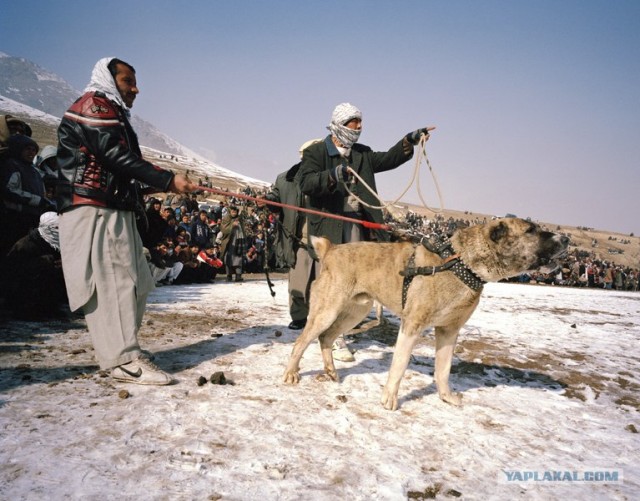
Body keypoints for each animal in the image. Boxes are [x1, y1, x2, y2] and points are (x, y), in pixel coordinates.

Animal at [282, 219, 568, 410]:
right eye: (530, 230)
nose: (565, 239)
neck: (460, 263)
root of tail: (331, 249)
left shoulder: (449, 331)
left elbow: (443, 370)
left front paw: (446, 397)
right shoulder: (412, 324)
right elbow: (399, 365)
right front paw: (389, 400)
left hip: (356, 310)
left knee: (326, 338)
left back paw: (331, 371)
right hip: (327, 310)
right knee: (301, 342)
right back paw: (291, 373)